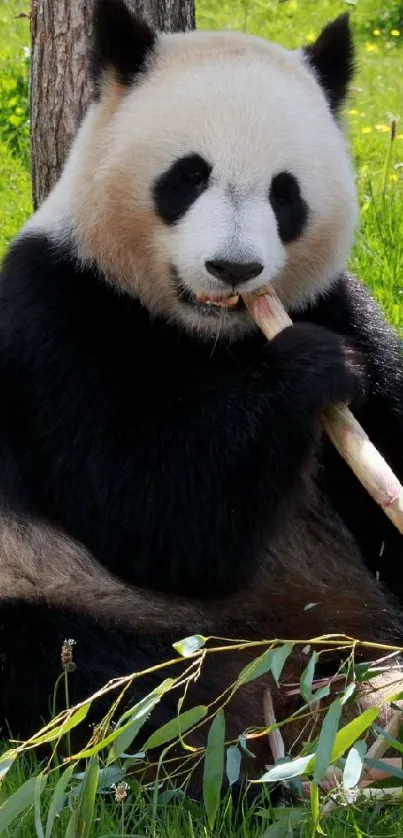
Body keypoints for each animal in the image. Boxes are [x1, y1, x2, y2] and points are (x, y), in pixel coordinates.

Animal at [0, 0, 403, 776]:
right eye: (187, 176)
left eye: (285, 192)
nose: (233, 268)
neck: (209, 336)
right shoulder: (55, 316)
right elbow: (149, 513)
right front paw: (309, 368)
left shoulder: (336, 302)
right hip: (58, 587)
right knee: (112, 688)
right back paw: (250, 758)